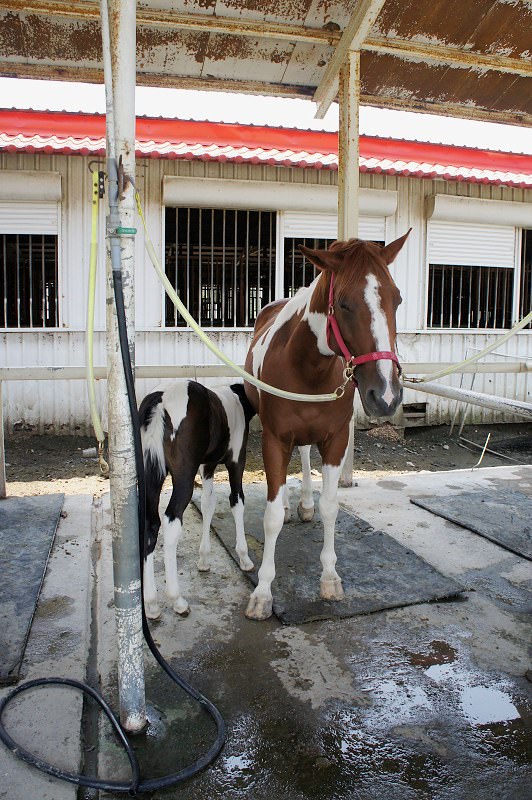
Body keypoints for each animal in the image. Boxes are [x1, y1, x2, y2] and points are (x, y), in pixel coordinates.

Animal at [139, 380, 256, 619]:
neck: (237, 398)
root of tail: (160, 400)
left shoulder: (207, 466)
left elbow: (207, 504)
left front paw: (203, 559)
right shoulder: (236, 461)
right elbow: (237, 501)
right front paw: (244, 558)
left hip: (151, 474)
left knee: (150, 524)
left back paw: (152, 604)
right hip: (183, 475)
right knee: (171, 521)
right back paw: (177, 600)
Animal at [243, 232, 409, 620]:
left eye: (397, 299)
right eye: (344, 305)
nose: (386, 395)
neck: (308, 367)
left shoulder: (335, 441)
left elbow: (331, 506)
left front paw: (330, 578)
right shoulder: (274, 439)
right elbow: (271, 517)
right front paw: (262, 592)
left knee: (305, 456)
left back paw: (303, 504)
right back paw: (288, 503)